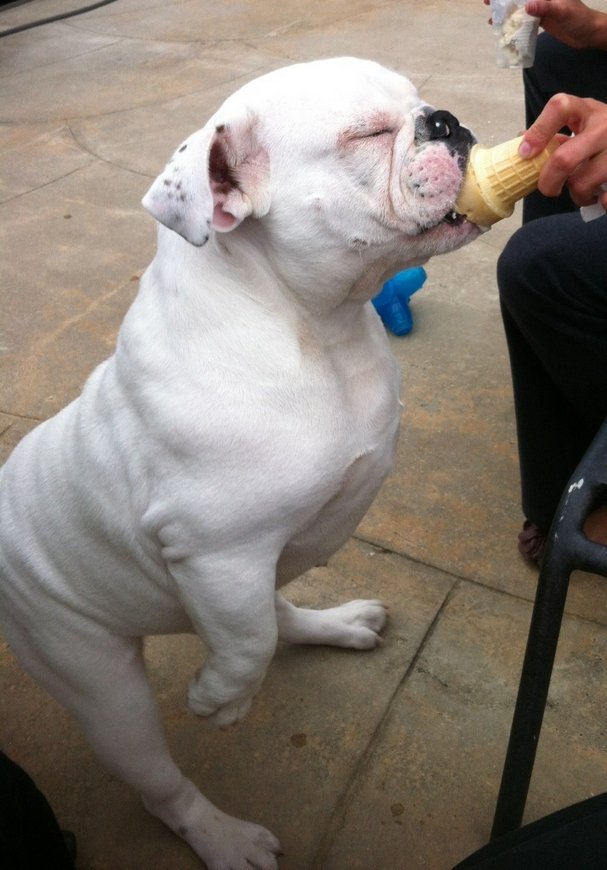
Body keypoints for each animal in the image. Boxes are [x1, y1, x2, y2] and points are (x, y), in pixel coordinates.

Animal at [0, 58, 479, 868]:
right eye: (366, 134)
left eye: (420, 104)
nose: (447, 120)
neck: (312, 323)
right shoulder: (218, 549)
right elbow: (248, 640)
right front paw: (222, 702)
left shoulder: (241, 560)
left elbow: (257, 625)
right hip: (96, 677)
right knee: (160, 779)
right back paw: (221, 836)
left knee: (276, 612)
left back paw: (336, 624)